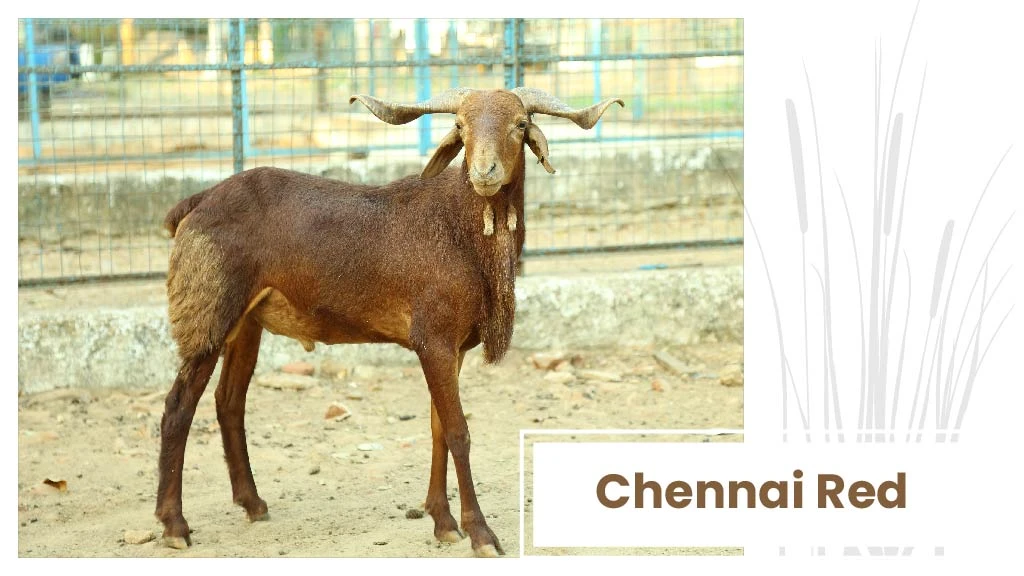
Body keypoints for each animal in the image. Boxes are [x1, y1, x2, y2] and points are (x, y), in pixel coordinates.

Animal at [154, 87, 623, 557]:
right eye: (460, 126)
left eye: (520, 124)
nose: (484, 172)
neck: (459, 231)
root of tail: (195, 203)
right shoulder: (432, 339)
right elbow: (458, 432)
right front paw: (480, 533)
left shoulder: (452, 347)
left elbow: (437, 429)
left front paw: (443, 522)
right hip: (206, 312)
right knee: (179, 407)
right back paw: (175, 525)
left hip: (246, 321)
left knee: (229, 401)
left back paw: (252, 503)